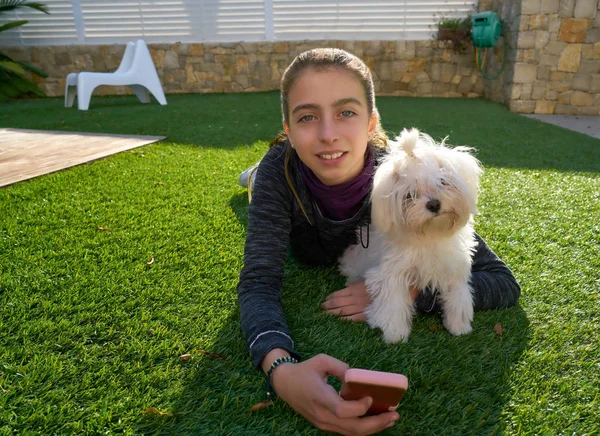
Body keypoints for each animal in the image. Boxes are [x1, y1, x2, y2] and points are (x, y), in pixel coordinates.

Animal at [338, 127, 482, 342]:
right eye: (410, 195)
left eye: (442, 182)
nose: (434, 204)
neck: (431, 234)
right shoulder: (392, 274)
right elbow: (393, 303)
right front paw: (395, 334)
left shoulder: (454, 269)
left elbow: (458, 297)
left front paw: (458, 326)